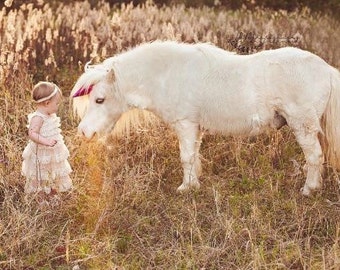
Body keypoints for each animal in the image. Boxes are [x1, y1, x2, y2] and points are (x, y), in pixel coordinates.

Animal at [71, 40, 340, 195]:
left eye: (99, 100)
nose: (83, 132)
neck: (165, 74)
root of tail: (326, 69)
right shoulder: (195, 128)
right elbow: (194, 156)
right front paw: (194, 183)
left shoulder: (185, 124)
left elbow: (186, 157)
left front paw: (186, 188)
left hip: (302, 125)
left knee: (315, 157)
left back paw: (308, 189)